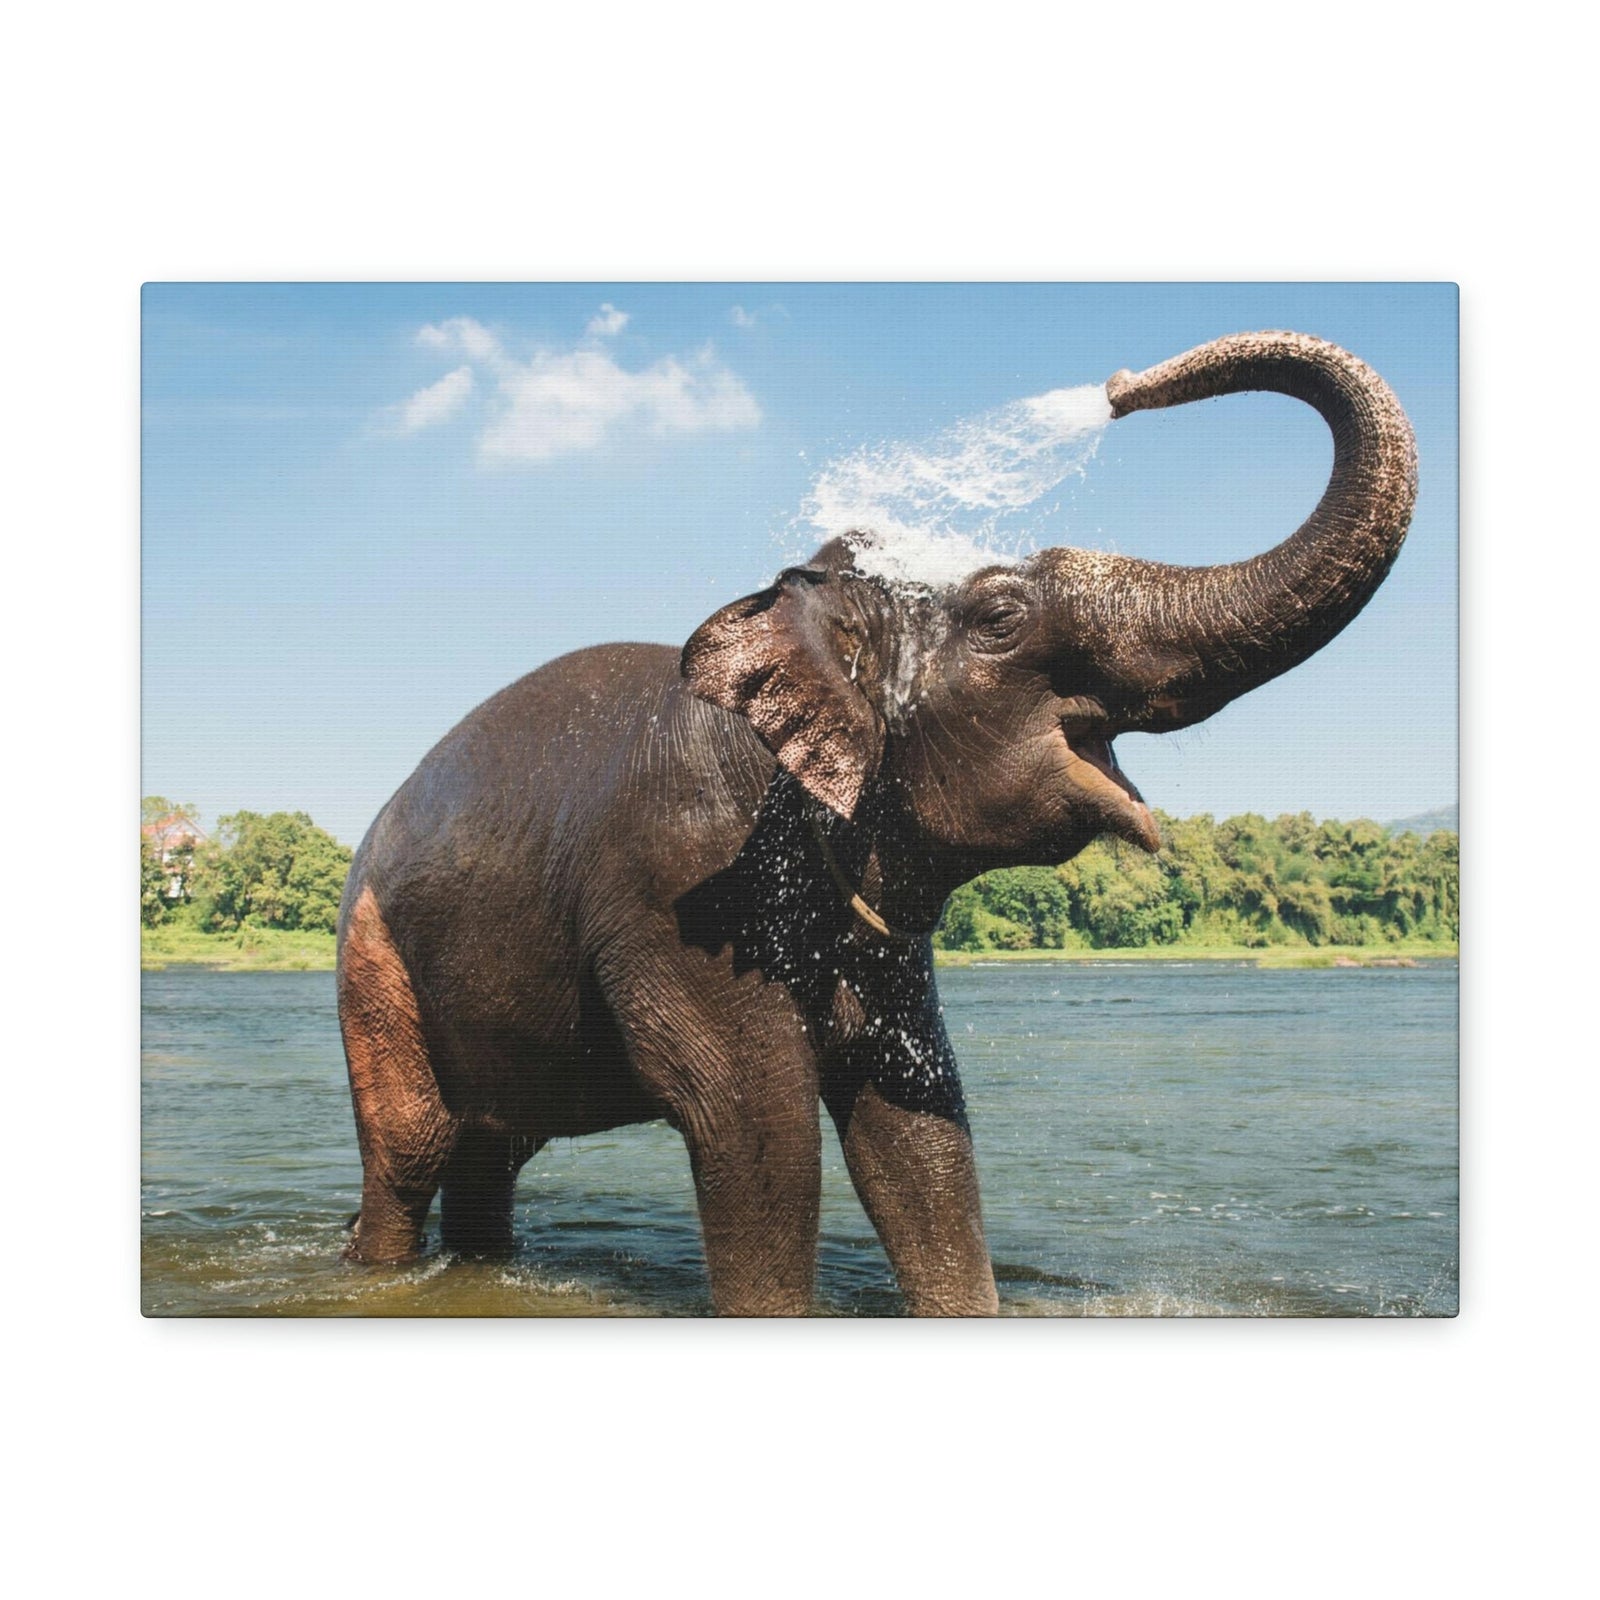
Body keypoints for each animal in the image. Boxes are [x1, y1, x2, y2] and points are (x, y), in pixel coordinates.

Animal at [337, 330, 1418, 1315]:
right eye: (1000, 616)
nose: (1117, 385)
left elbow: (917, 1122)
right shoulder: (679, 880)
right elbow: (754, 1121)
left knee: (490, 1152)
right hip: (371, 959)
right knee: (412, 1148)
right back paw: (377, 1264)